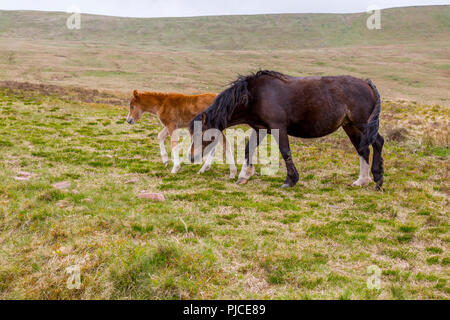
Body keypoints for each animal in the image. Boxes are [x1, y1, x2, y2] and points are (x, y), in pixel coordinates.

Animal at [189, 70, 384, 190]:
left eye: (202, 134)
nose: (191, 157)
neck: (255, 96)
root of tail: (367, 84)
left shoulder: (278, 129)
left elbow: (285, 151)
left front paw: (290, 180)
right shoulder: (259, 129)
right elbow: (248, 149)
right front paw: (244, 175)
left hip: (362, 124)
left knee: (377, 143)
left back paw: (378, 180)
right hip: (350, 126)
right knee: (363, 149)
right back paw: (362, 180)